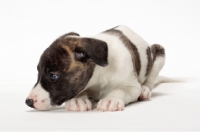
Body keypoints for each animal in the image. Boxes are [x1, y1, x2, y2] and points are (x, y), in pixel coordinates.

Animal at [25, 25, 166, 111]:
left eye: (53, 76)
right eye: (38, 72)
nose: (28, 102)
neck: (100, 77)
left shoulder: (132, 86)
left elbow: (120, 90)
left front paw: (110, 99)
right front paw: (78, 100)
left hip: (159, 52)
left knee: (150, 81)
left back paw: (145, 90)